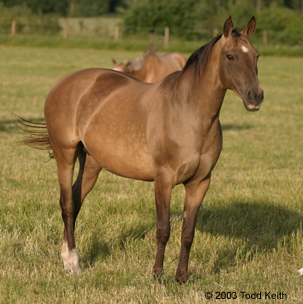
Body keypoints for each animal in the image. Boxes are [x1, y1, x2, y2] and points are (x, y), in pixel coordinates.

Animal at [17, 16, 264, 282]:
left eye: (256, 56)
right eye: (230, 56)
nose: (255, 96)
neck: (189, 111)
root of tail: (63, 82)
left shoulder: (200, 183)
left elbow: (188, 233)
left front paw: (182, 277)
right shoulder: (163, 179)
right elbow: (163, 229)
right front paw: (157, 275)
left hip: (92, 163)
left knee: (75, 201)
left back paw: (67, 259)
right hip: (65, 154)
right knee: (67, 204)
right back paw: (73, 262)